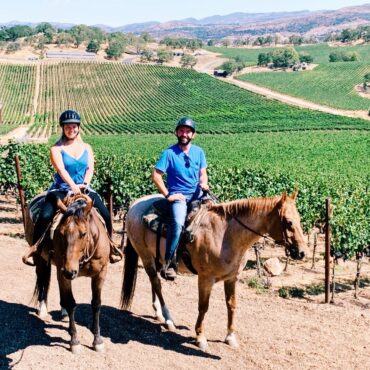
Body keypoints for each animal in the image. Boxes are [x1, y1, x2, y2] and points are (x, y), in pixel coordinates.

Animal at [25, 194, 110, 352]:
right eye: (60, 233)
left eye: (83, 233)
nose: (70, 271)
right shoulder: (63, 270)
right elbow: (71, 303)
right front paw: (74, 340)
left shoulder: (101, 273)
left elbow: (96, 303)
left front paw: (97, 339)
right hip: (42, 261)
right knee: (42, 280)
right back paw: (43, 309)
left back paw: (63, 312)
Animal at [120, 191, 306, 350]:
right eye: (288, 221)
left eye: (299, 219)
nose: (302, 252)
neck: (226, 235)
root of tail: (135, 204)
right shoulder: (205, 278)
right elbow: (203, 307)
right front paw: (200, 338)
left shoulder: (232, 278)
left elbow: (232, 305)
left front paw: (230, 337)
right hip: (145, 255)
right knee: (156, 283)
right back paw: (168, 319)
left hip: (156, 257)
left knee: (154, 282)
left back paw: (158, 313)